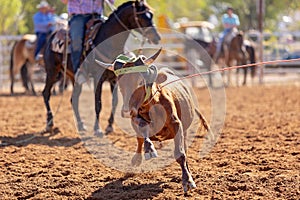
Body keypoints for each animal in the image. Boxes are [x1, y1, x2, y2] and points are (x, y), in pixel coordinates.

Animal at [42, 0, 161, 136]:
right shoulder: (97, 79)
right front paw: (97, 129)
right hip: (52, 72)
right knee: (46, 93)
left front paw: (109, 126)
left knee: (74, 99)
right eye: (142, 16)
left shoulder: (114, 79)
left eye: (151, 15)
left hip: (73, 77)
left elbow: (114, 102)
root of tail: (52, 37)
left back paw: (80, 125)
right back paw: (49, 124)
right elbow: (98, 103)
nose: (157, 37)